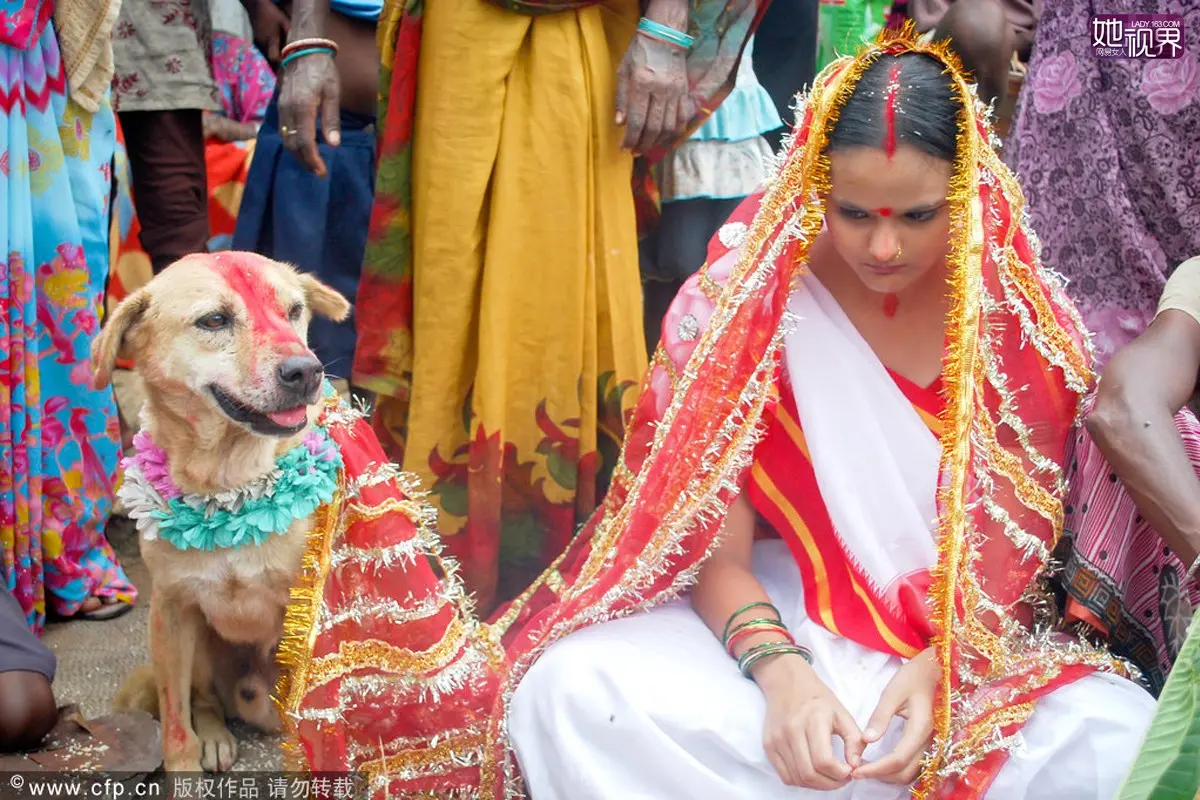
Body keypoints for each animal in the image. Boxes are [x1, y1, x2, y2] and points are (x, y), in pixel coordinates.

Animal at [94, 253, 350, 772]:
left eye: (294, 311)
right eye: (214, 320)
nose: (307, 371)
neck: (228, 488)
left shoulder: (311, 612)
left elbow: (317, 716)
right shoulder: (171, 609)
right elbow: (175, 721)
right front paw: (184, 766)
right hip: (198, 645)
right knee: (203, 701)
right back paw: (213, 734)